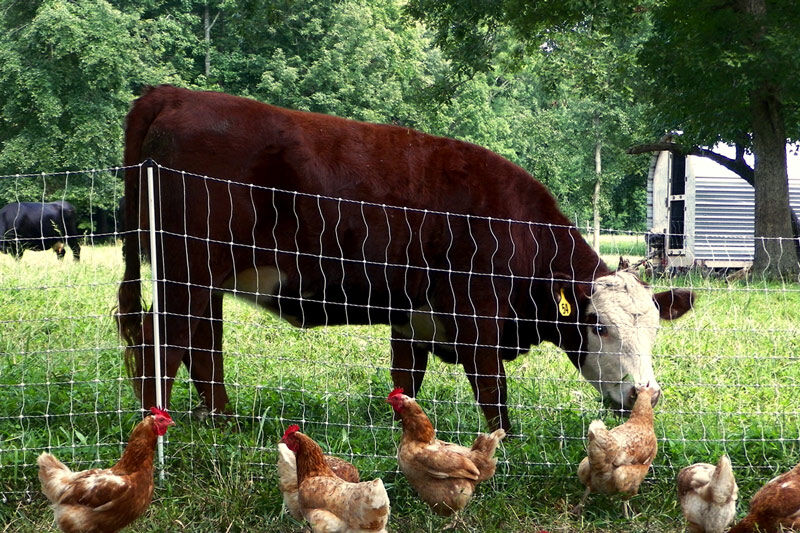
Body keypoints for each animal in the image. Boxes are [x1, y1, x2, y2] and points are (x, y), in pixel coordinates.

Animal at [115, 85, 696, 430]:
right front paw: (501, 449)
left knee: (201, 346)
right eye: (598, 326)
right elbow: (494, 392)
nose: (646, 394)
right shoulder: (477, 319)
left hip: (206, 278)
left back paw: (224, 422)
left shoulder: (412, 317)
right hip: (187, 272)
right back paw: (158, 430)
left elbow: (407, 382)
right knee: (161, 342)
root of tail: (173, 93)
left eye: (654, 329)